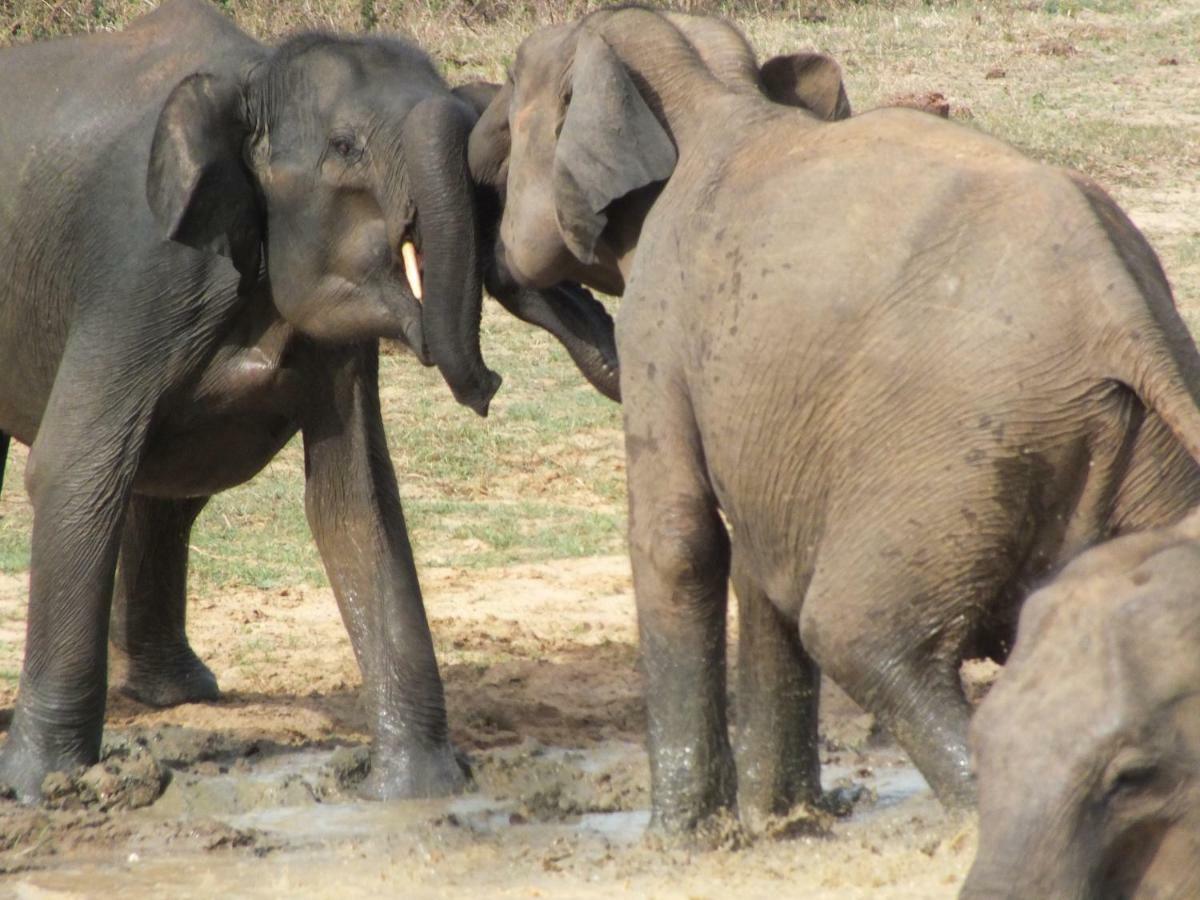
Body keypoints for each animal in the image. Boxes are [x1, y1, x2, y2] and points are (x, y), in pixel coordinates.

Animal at [0, 0, 619, 801]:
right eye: (345, 147)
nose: (488, 387)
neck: (252, 78)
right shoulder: (136, 270)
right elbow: (73, 470)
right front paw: (42, 788)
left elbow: (357, 501)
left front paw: (414, 792)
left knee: (172, 492)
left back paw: (179, 692)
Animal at [470, 7, 1200, 835]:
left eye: (512, 85)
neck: (712, 94)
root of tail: (1119, 305)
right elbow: (762, 558)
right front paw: (782, 825)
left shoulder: (661, 316)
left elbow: (679, 539)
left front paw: (681, 841)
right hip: (1136, 445)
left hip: (961, 444)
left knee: (857, 634)